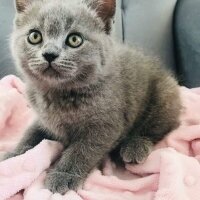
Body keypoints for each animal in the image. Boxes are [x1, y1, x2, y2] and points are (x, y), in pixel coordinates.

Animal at [5, 0, 182, 195]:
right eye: (35, 36)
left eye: (74, 39)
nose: (49, 54)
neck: (60, 94)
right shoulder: (44, 119)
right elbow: (30, 133)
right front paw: (14, 155)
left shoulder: (106, 125)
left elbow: (82, 150)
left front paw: (64, 175)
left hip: (165, 94)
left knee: (160, 126)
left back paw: (135, 145)